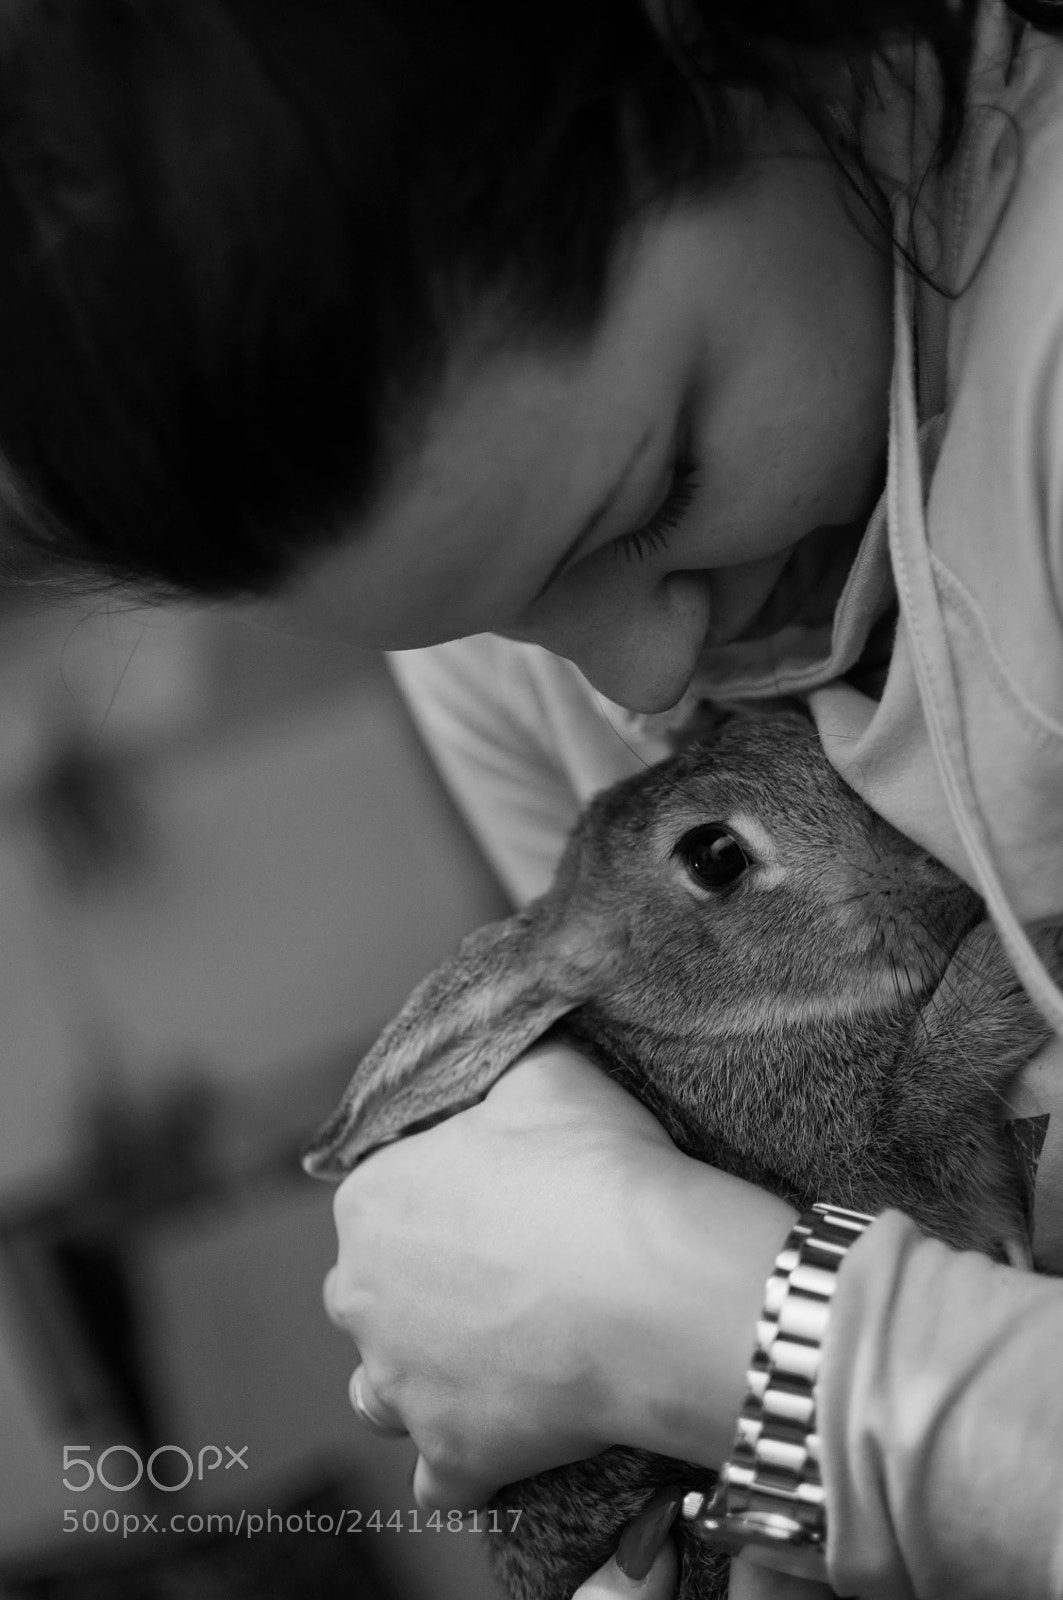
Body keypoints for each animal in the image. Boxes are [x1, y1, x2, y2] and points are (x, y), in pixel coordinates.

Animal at [303, 707, 1060, 1600]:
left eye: (789, 726)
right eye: (714, 856)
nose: (925, 863)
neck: (718, 1022)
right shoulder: (875, 1161)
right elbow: (930, 1090)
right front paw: (1016, 957)